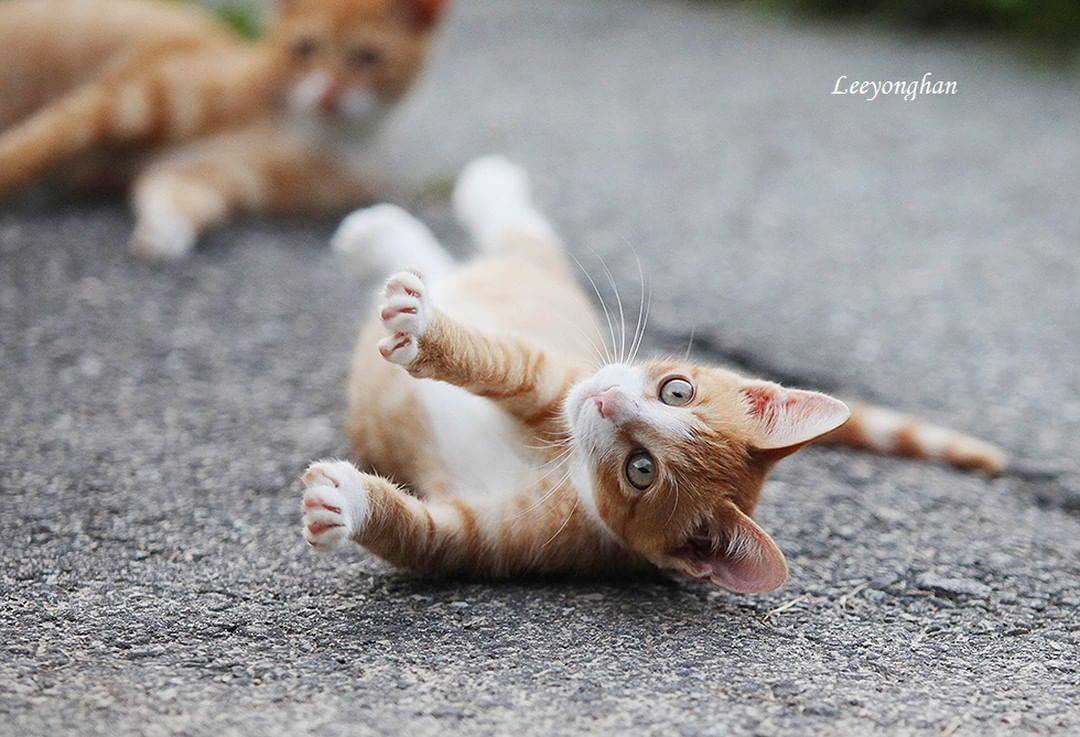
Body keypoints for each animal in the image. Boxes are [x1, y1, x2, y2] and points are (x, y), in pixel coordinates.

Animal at [0, 0, 447, 261]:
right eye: (305, 48)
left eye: (368, 58)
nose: (329, 92)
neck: (302, 127)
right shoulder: (134, 96)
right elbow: (44, 137)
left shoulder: (214, 173)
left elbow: (176, 196)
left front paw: (164, 232)